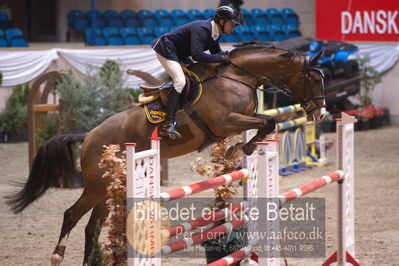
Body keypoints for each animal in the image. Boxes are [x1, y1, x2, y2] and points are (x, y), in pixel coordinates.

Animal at [5, 44, 324, 264]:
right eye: (314, 79)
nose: (320, 114)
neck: (237, 77)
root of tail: (90, 136)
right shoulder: (225, 121)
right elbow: (267, 122)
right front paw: (240, 148)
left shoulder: (241, 119)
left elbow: (266, 122)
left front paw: (239, 149)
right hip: (97, 185)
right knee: (72, 215)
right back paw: (57, 255)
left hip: (108, 188)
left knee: (92, 227)